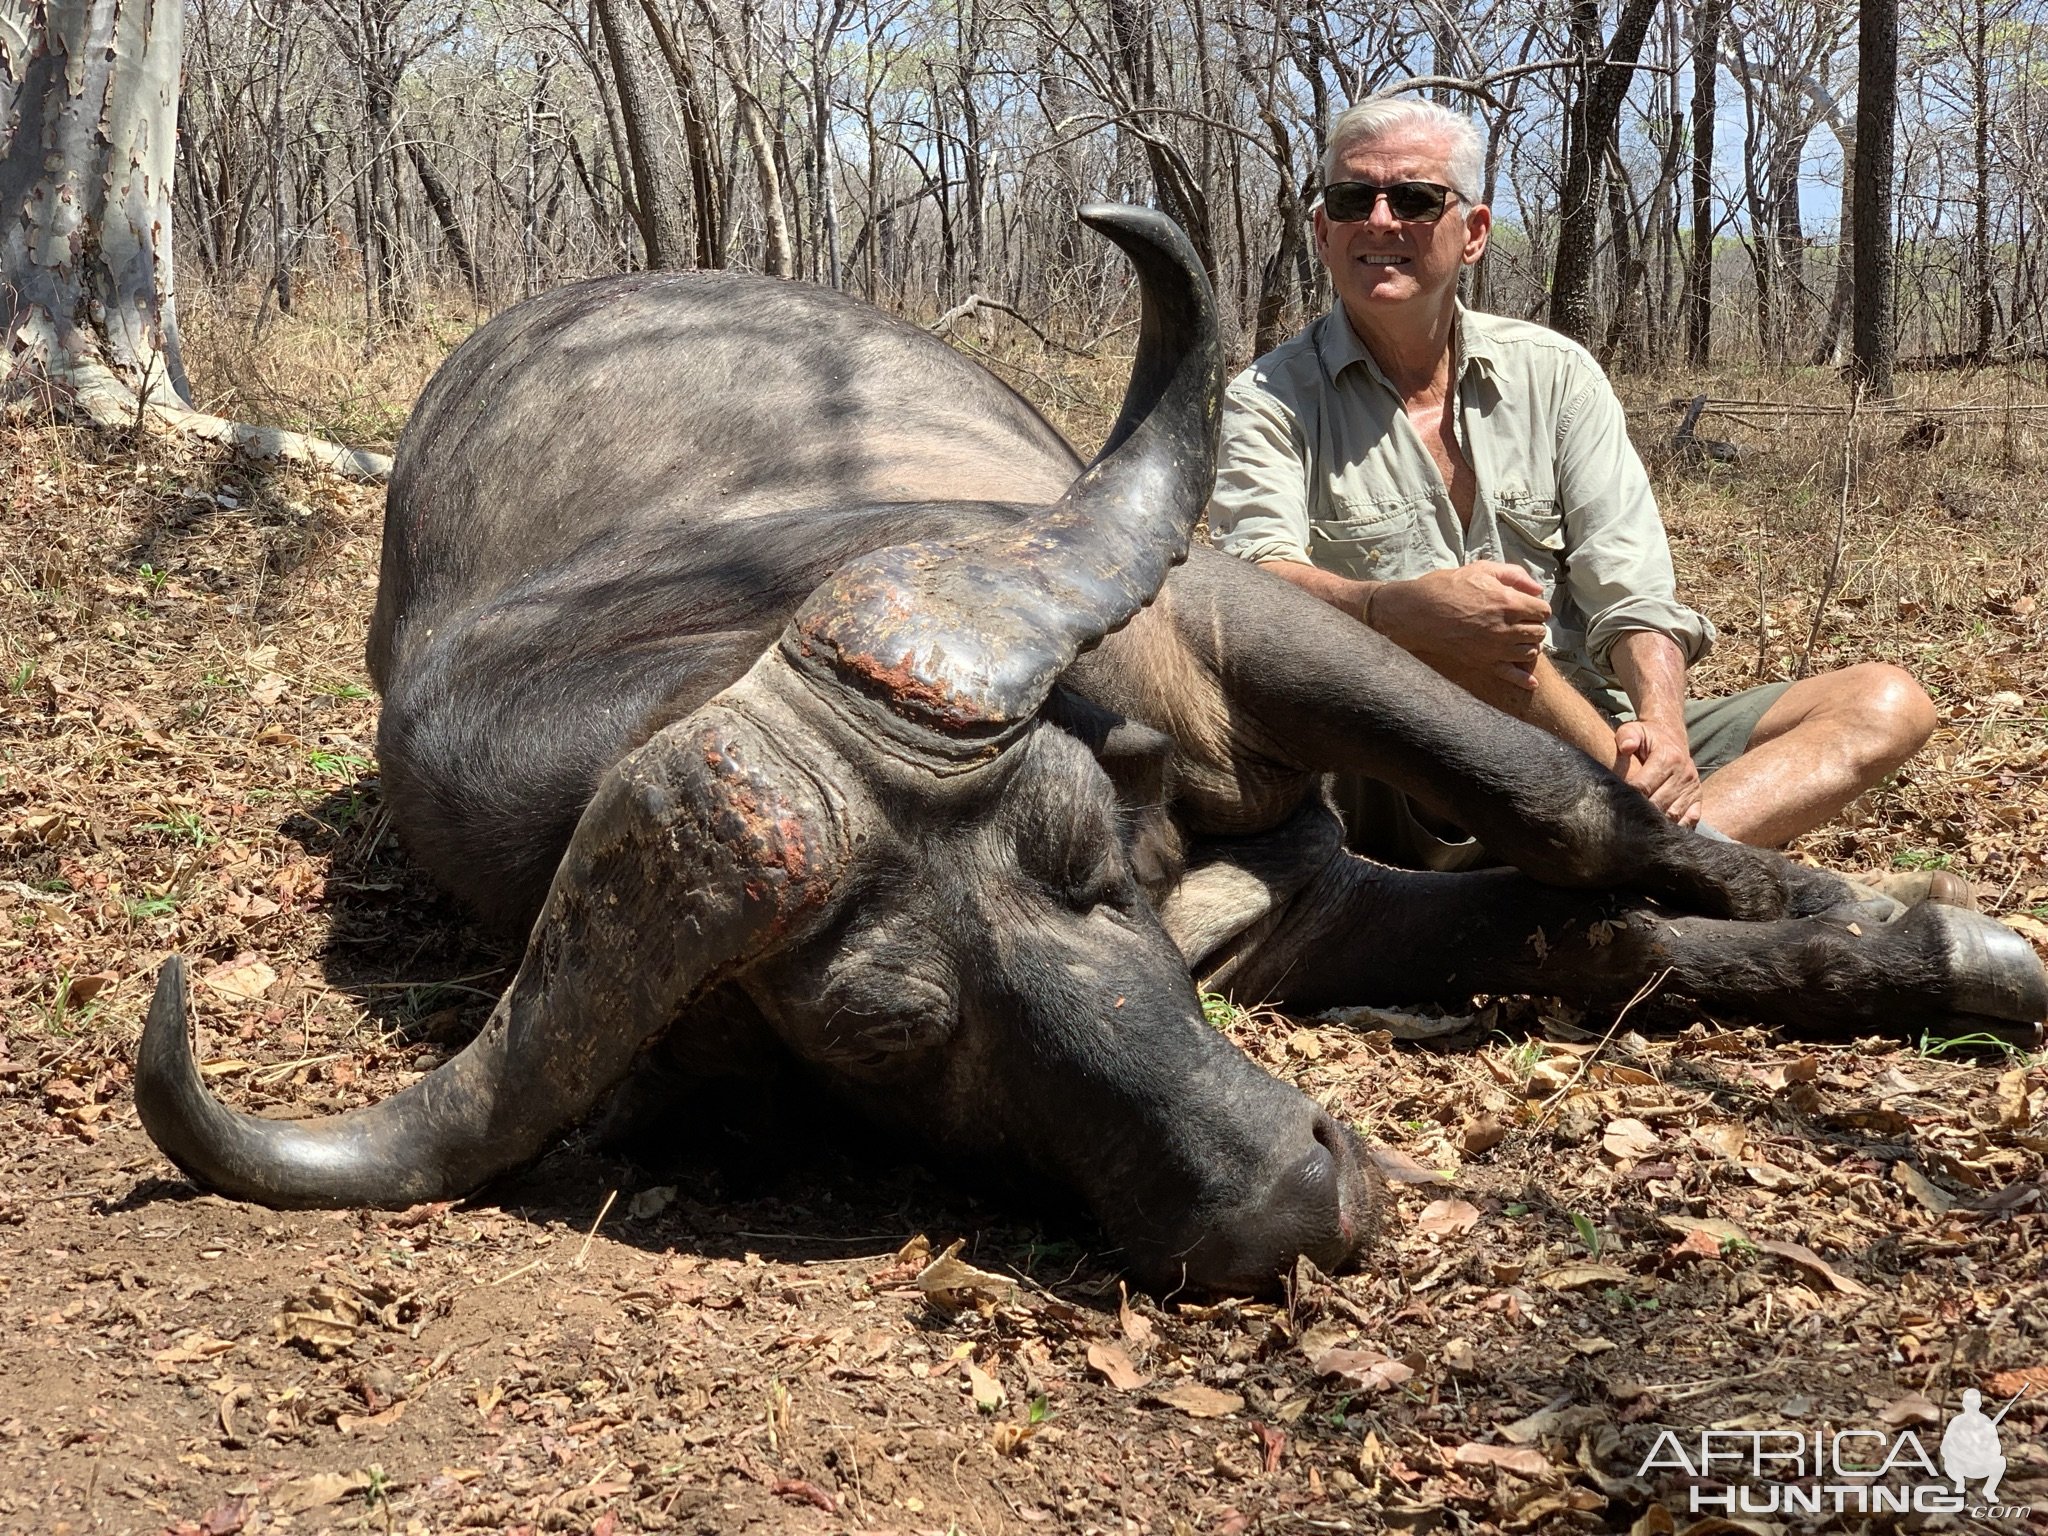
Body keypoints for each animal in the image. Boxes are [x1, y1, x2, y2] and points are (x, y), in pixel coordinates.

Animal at [136, 201, 2039, 1286]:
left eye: (1079, 862)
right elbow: (1590, 935)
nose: (1293, 1198)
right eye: (887, 1034)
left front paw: (1921, 931)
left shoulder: (1240, 623)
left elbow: (1571, 818)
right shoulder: (1304, 928)